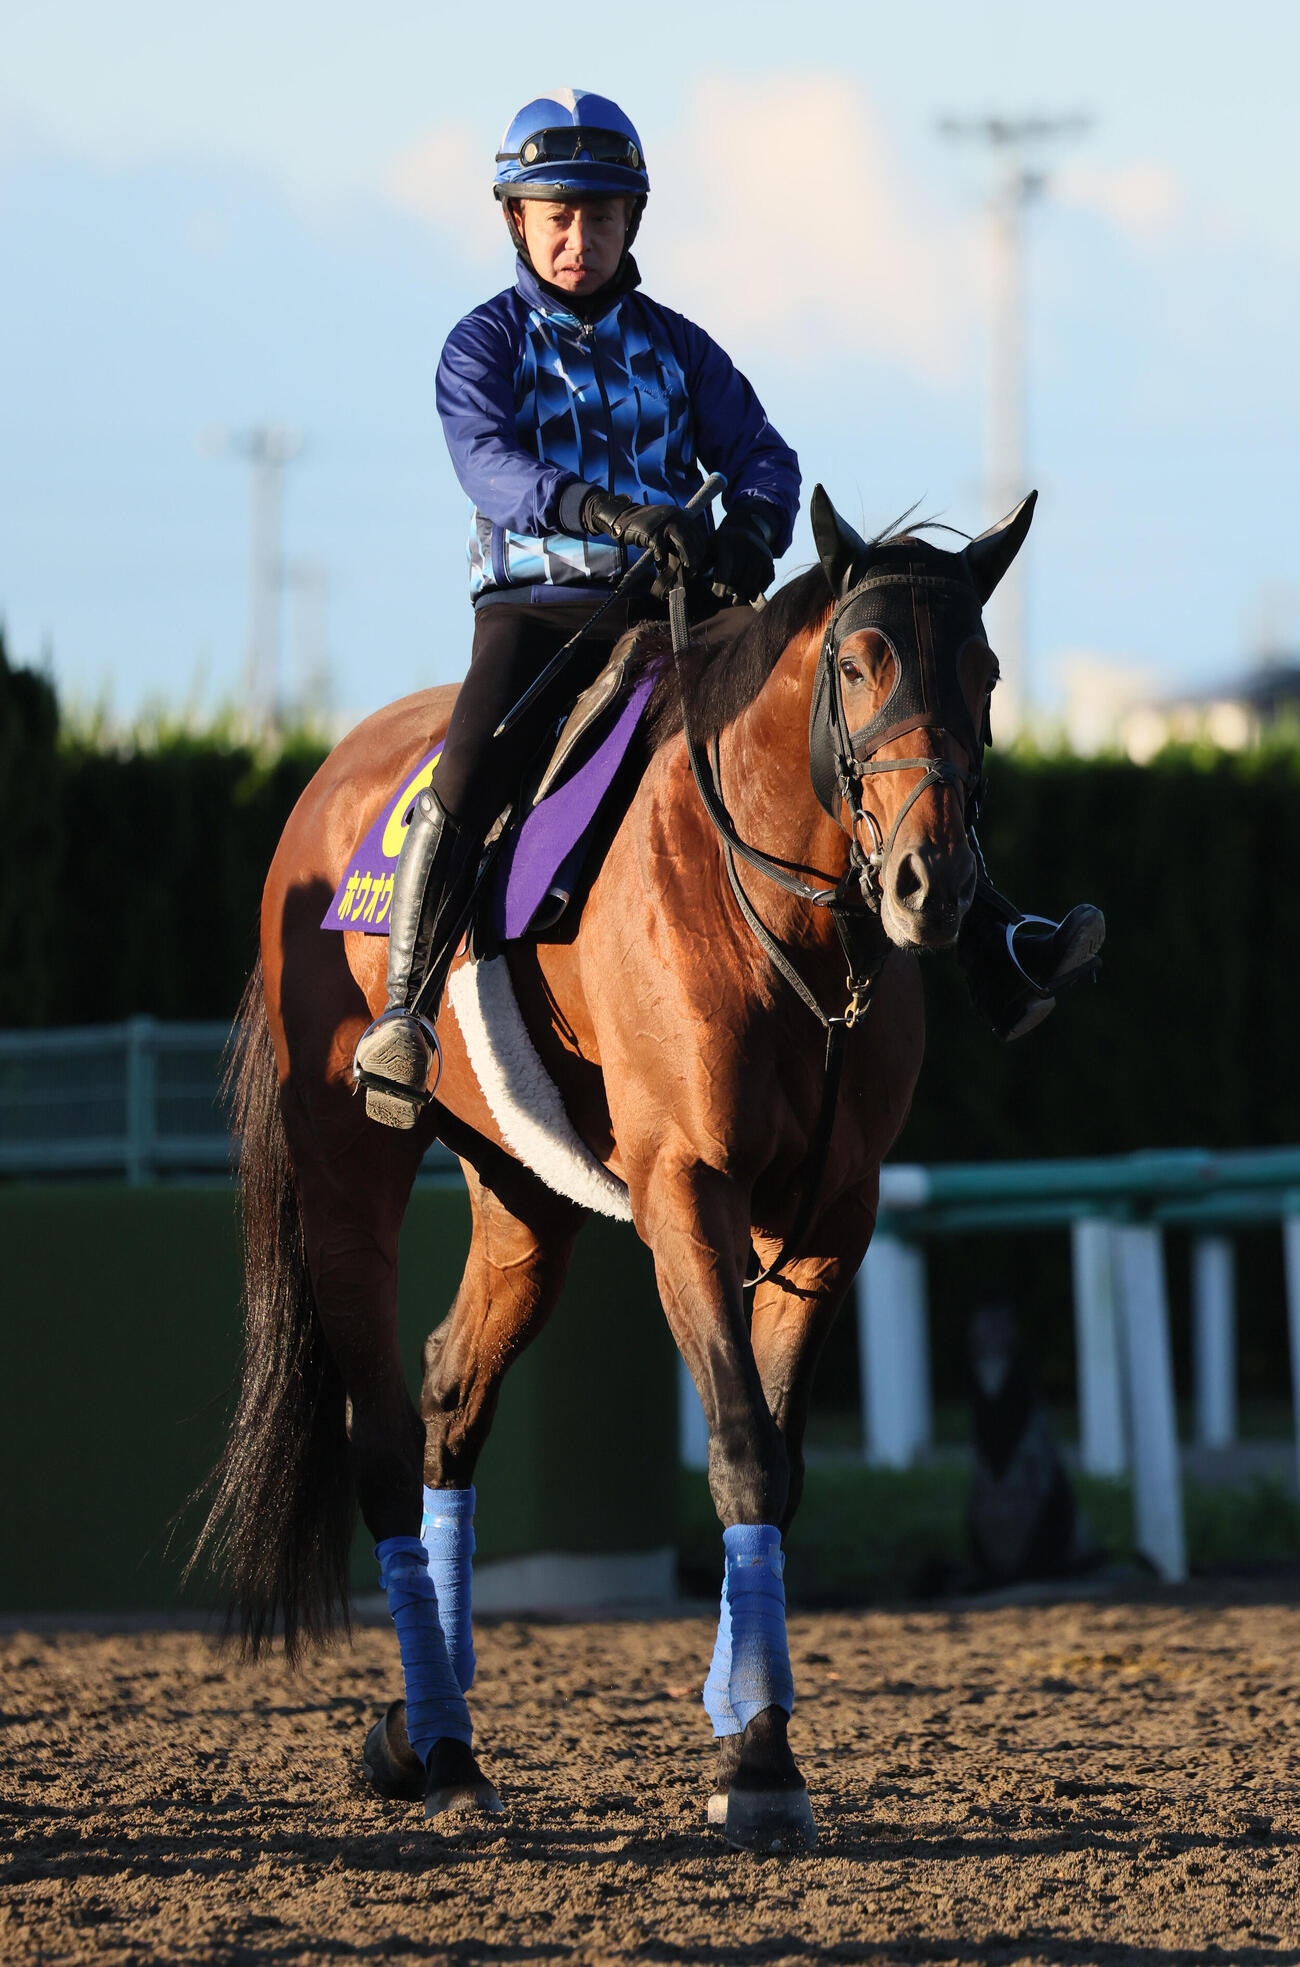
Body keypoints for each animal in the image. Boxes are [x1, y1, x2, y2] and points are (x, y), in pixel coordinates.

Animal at [195, 484, 1035, 1853]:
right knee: (382, 1434)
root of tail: (323, 789)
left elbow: (784, 1466)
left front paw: (748, 1725)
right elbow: (740, 1445)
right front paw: (759, 1759)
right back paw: (439, 1747)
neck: (784, 919)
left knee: (450, 1400)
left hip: (525, 1197)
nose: (932, 881)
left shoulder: (830, 1218)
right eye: (859, 661)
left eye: (985, 670)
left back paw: (428, 1732)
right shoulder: (685, 1189)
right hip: (346, 1168)